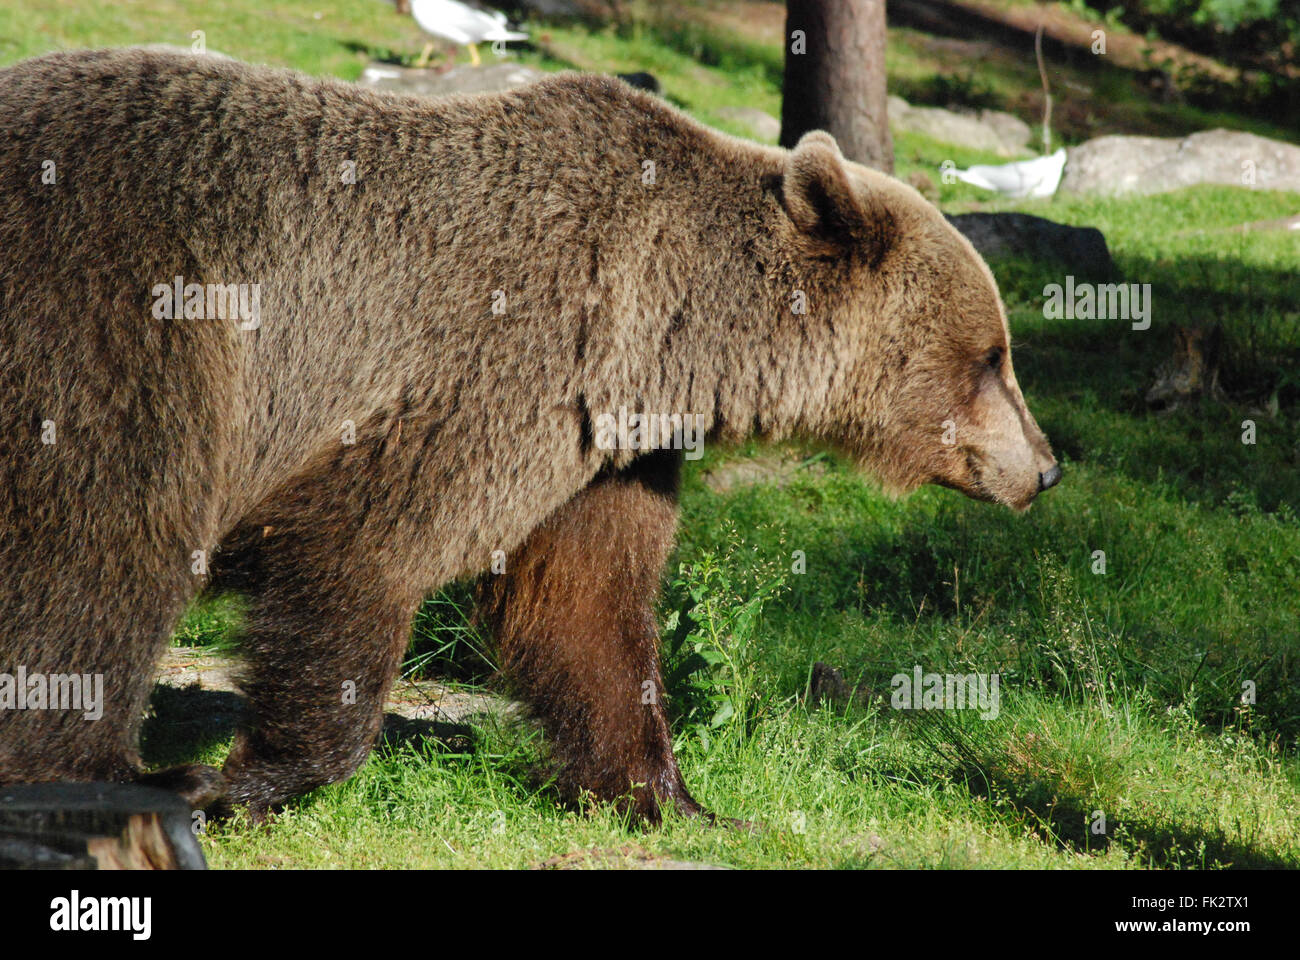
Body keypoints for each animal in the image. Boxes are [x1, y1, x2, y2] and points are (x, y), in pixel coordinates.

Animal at [0, 48, 1055, 816]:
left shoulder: (606, 451)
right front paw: (245, 777)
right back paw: (118, 774)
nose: (1044, 468)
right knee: (106, 542)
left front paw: (674, 796)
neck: (664, 333)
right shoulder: (496, 367)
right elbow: (366, 551)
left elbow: (585, 613)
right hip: (119, 311)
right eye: (993, 355)